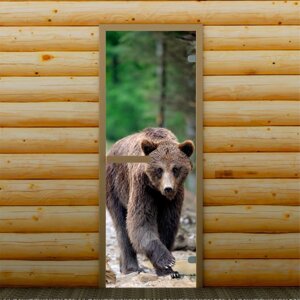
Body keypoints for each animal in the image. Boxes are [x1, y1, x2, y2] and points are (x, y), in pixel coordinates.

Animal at [106, 126, 195, 276]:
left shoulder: (174, 198)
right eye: (159, 169)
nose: (168, 188)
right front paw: (167, 261)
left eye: (175, 168)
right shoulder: (142, 187)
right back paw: (131, 268)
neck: (157, 191)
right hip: (115, 187)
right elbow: (141, 221)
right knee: (121, 225)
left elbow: (167, 225)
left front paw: (167, 270)